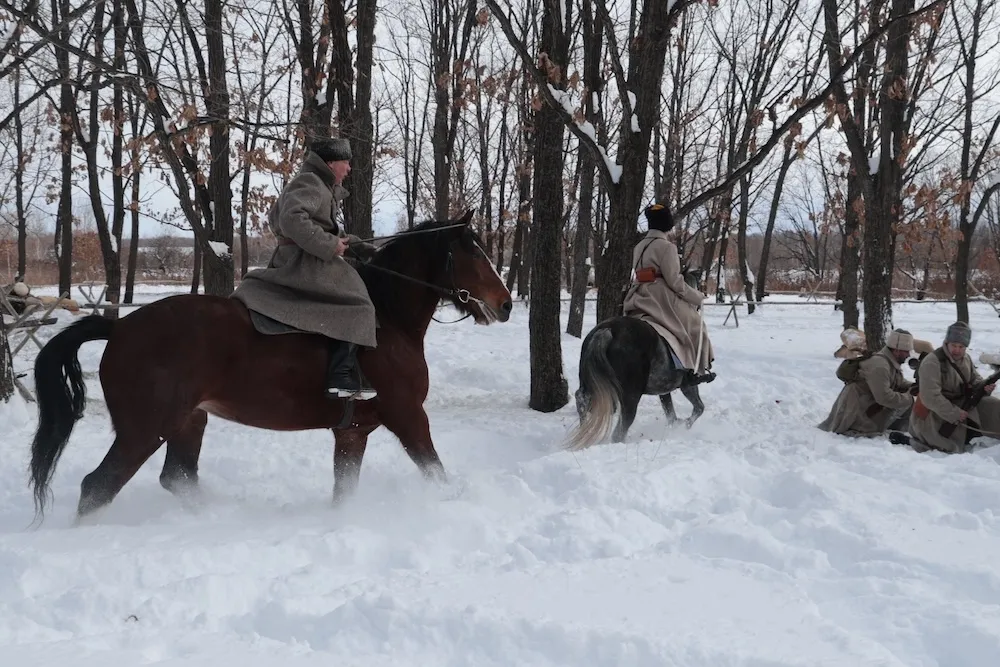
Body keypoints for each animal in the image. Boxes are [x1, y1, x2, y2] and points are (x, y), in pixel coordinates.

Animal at [27, 213, 512, 520]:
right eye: (474, 253)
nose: (505, 304)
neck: (386, 320)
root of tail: (121, 327)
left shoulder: (353, 433)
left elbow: (345, 489)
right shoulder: (408, 416)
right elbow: (436, 473)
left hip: (188, 422)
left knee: (177, 478)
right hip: (145, 430)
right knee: (98, 487)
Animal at [564, 268, 712, 452]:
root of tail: (606, 331)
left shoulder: (664, 389)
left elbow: (670, 412)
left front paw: (676, 426)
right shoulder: (687, 383)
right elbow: (698, 407)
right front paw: (685, 426)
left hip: (593, 385)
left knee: (582, 400)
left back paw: (586, 429)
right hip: (630, 396)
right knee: (620, 430)